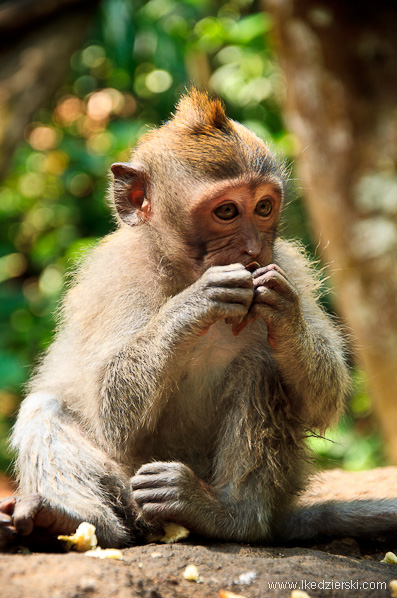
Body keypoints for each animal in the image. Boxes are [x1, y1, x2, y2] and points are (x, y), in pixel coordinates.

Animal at [0, 89, 392, 552]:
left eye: (263, 207)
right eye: (226, 211)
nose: (252, 249)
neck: (182, 271)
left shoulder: (290, 265)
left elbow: (323, 398)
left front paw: (285, 313)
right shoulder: (112, 278)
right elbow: (110, 414)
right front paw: (198, 301)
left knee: (262, 368)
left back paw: (226, 514)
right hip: (128, 490)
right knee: (47, 408)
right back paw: (70, 521)